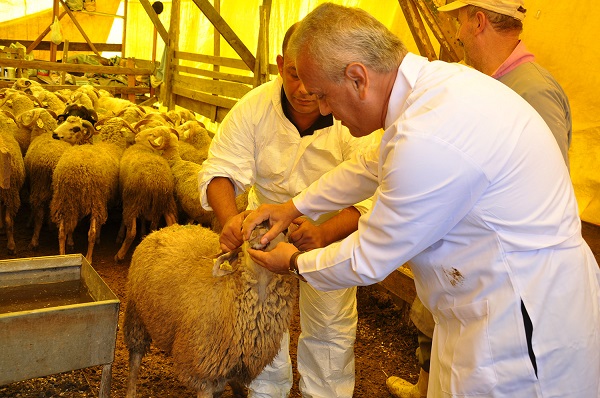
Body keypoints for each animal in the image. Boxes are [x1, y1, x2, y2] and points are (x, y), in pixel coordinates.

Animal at [123, 222, 298, 398]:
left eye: (284, 230)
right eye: (243, 229)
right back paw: (131, 391)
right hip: (136, 313)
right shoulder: (201, 368)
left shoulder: (222, 367)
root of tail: (166, 228)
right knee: (135, 356)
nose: (261, 226)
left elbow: (219, 390)